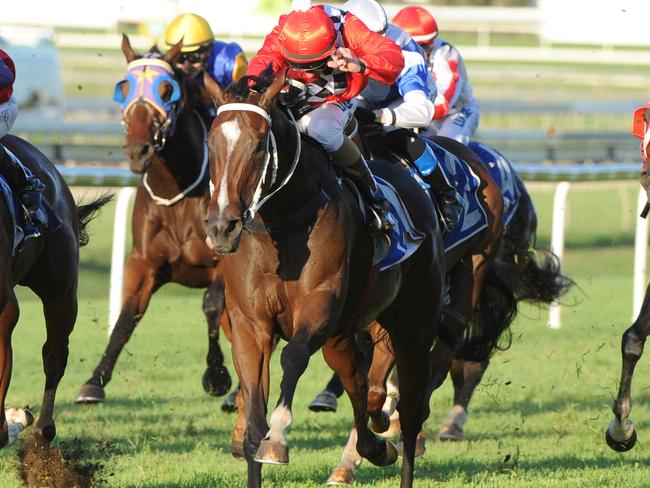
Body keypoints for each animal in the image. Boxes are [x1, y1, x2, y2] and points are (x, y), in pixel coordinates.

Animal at [74, 35, 232, 404]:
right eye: (123, 87)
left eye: (165, 89)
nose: (139, 151)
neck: (179, 193)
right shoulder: (144, 262)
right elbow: (126, 316)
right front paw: (94, 381)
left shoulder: (225, 262)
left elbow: (213, 305)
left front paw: (217, 376)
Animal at [202, 71, 446, 488]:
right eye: (211, 142)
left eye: (257, 146)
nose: (222, 227)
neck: (279, 227)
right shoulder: (250, 325)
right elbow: (252, 424)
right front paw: (257, 439)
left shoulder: (319, 306)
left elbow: (294, 356)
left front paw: (278, 438)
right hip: (344, 334)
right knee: (357, 382)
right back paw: (373, 447)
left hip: (413, 326)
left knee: (412, 410)